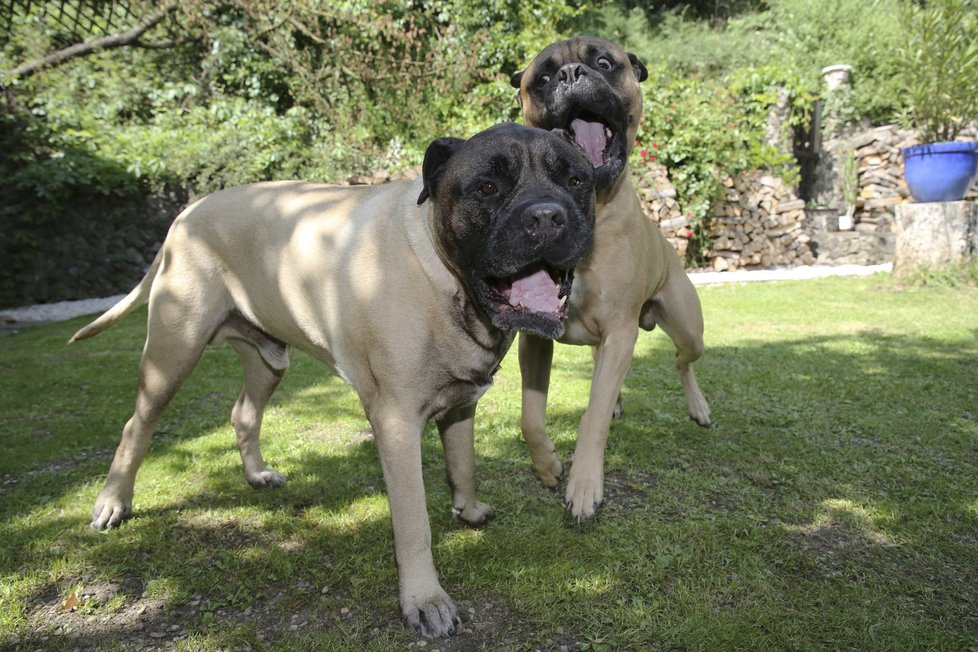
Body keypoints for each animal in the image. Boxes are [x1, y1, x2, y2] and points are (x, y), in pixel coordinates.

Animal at [68, 122, 596, 636]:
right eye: (487, 188)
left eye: (575, 181)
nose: (547, 217)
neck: (446, 281)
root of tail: (186, 213)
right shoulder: (397, 425)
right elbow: (414, 524)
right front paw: (425, 601)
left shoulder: (462, 403)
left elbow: (463, 463)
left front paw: (467, 509)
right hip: (173, 352)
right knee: (136, 426)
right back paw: (113, 503)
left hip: (268, 360)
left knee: (243, 414)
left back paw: (256, 474)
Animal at [510, 38, 708, 524]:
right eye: (542, 78)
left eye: (604, 62)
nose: (571, 74)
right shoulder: (535, 336)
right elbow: (530, 416)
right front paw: (548, 465)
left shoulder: (620, 331)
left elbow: (593, 414)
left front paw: (584, 485)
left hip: (687, 328)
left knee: (683, 362)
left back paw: (698, 407)